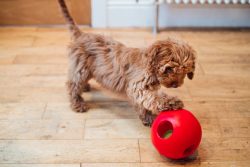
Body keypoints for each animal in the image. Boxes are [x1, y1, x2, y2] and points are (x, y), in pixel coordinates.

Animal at [58, 0, 195, 126]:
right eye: (169, 69)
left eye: (185, 72)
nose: (175, 85)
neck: (150, 67)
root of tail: (81, 35)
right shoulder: (137, 86)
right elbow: (153, 98)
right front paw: (172, 102)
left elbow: (143, 104)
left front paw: (147, 117)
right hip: (81, 67)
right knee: (73, 84)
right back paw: (78, 103)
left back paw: (85, 87)